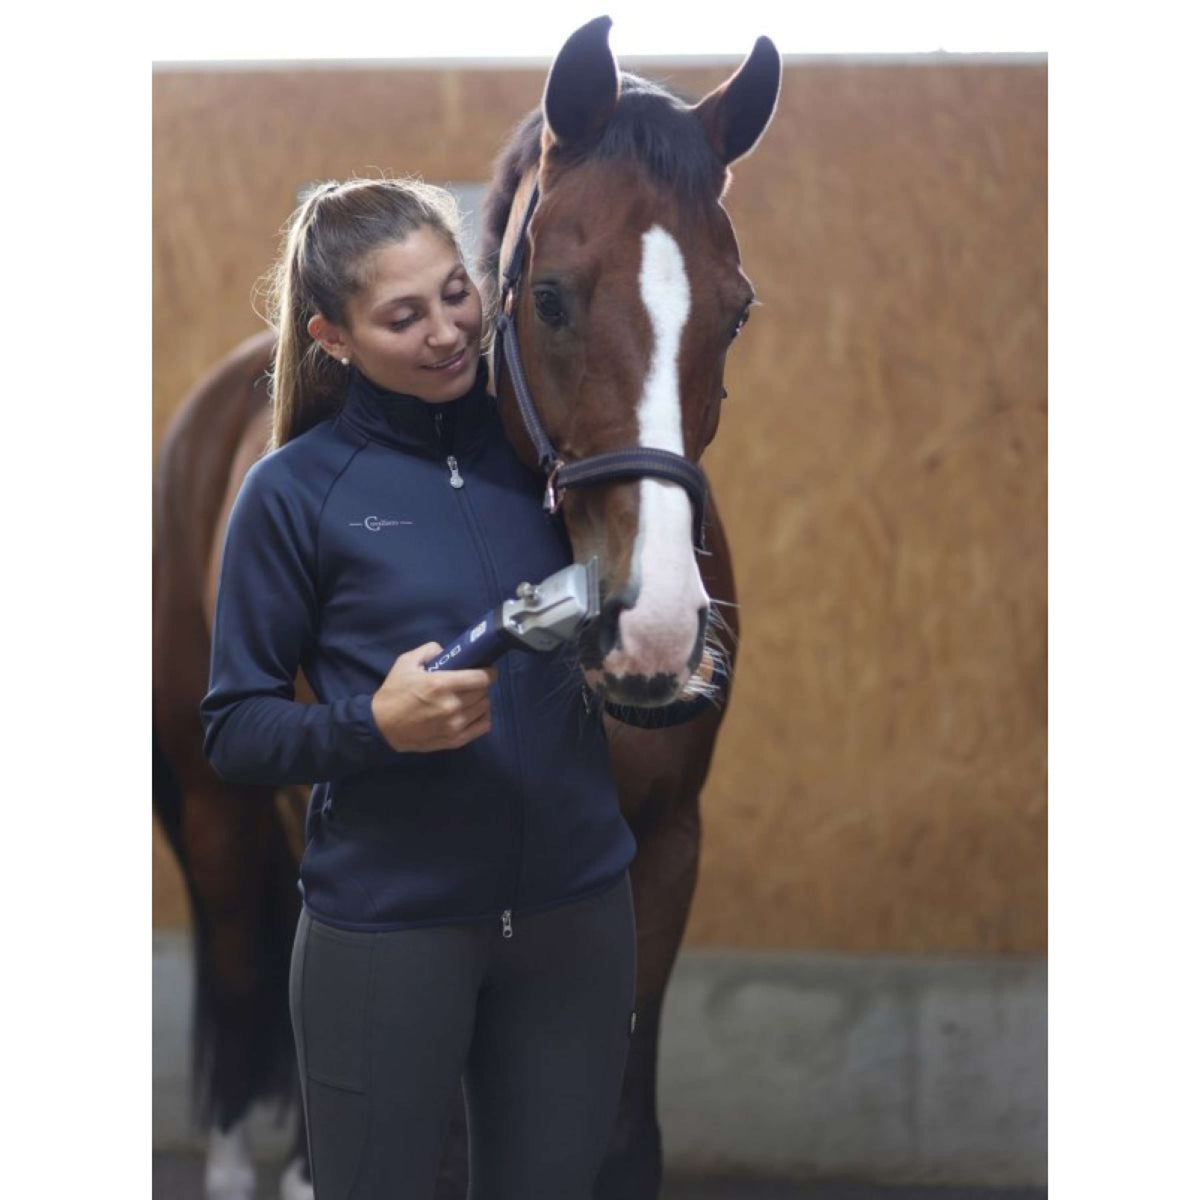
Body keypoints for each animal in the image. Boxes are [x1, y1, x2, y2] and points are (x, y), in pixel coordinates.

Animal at [152, 17, 780, 1200]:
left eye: (737, 309)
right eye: (551, 295)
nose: (654, 629)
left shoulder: (664, 855)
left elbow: (622, 1136)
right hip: (213, 804)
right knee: (247, 974)